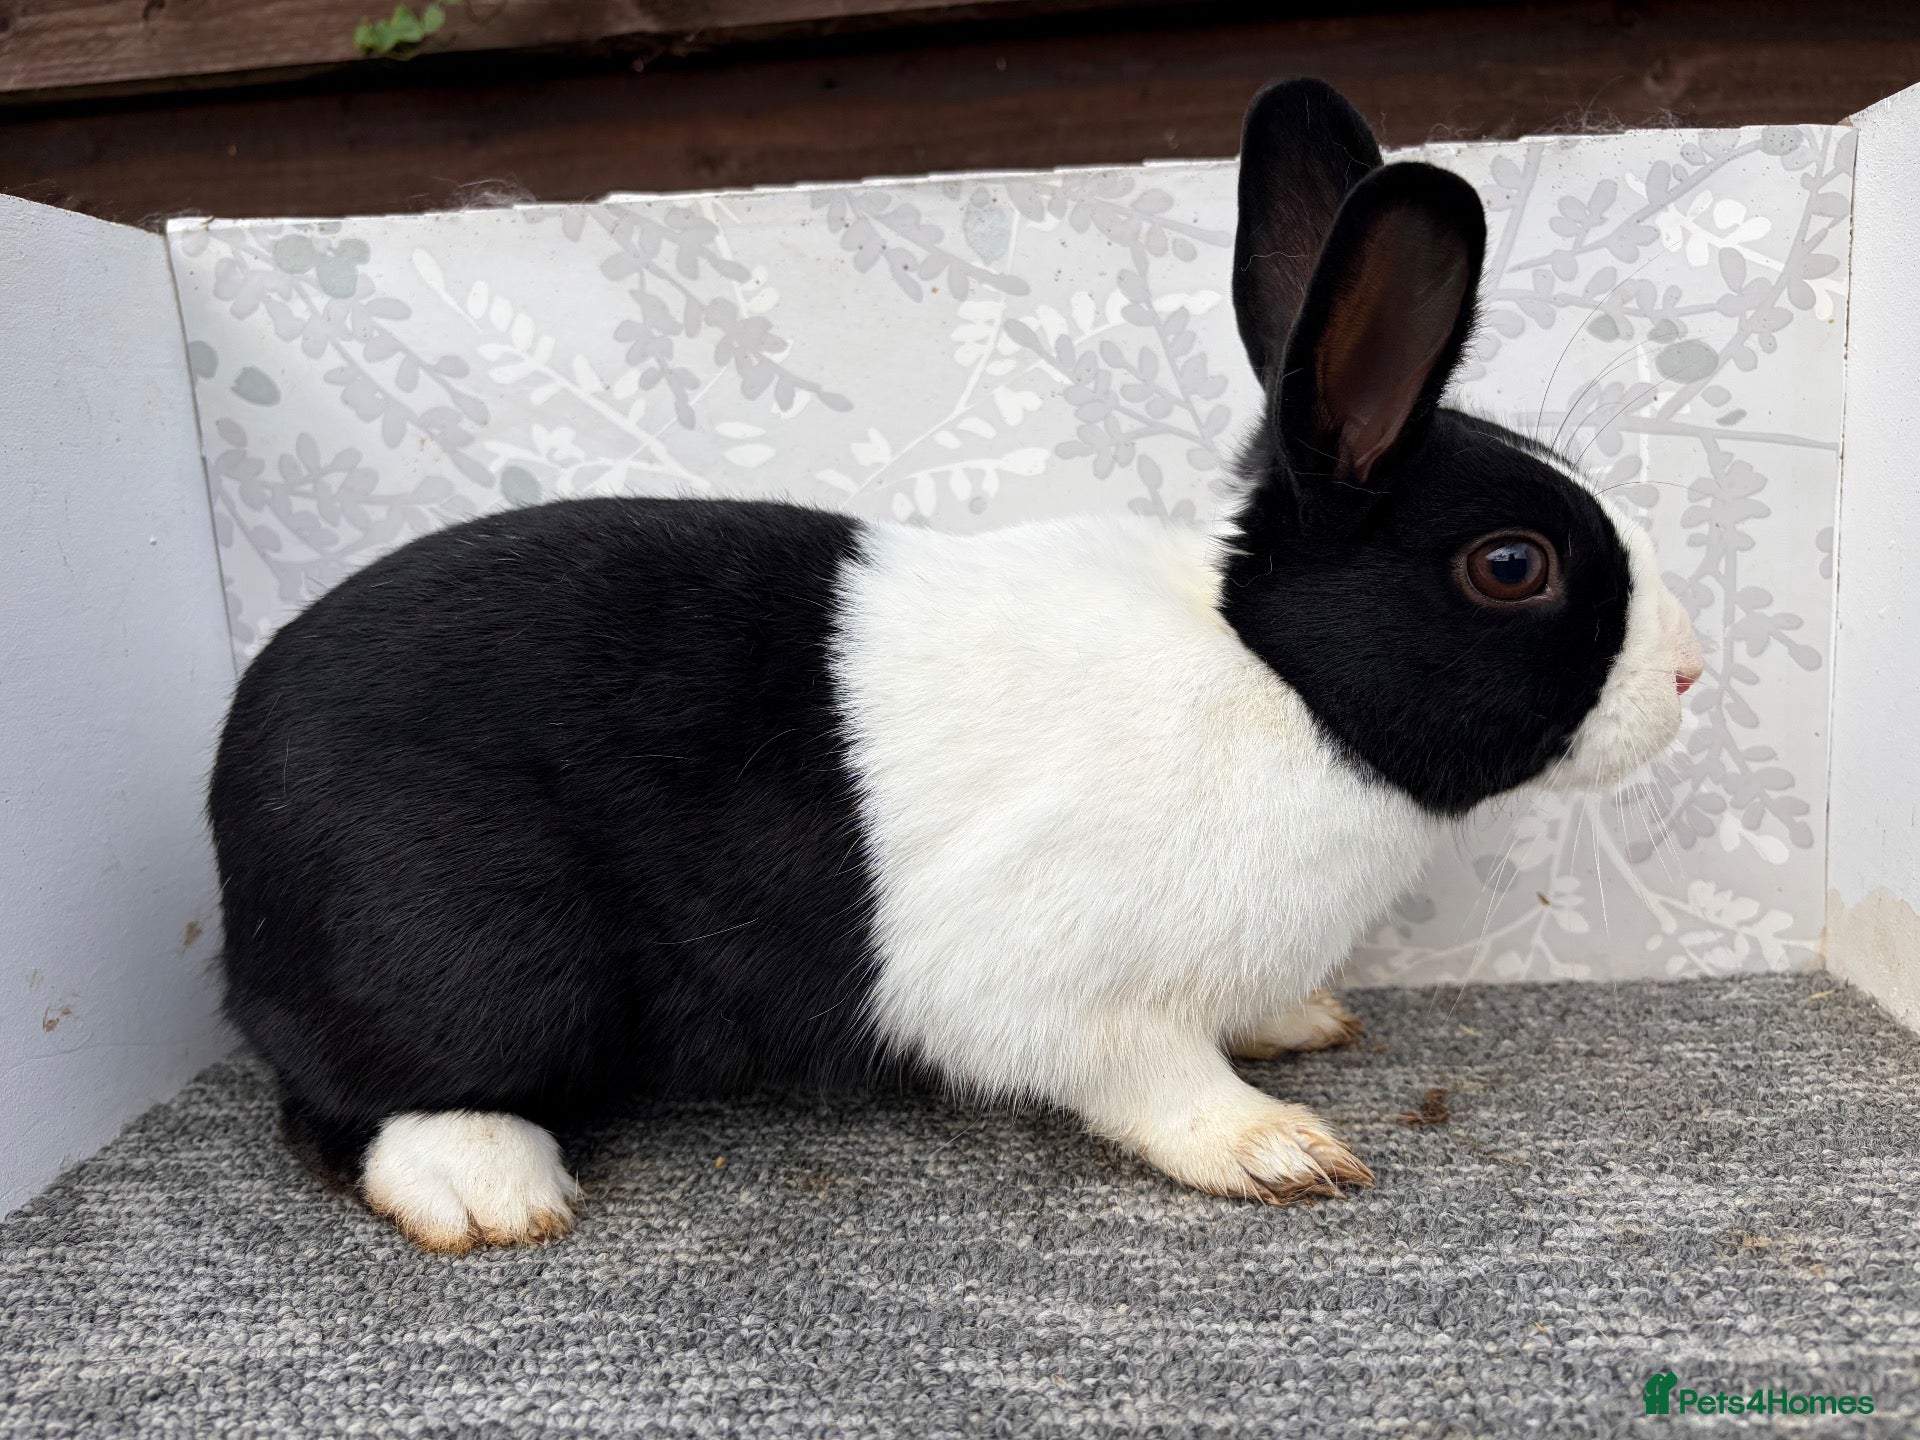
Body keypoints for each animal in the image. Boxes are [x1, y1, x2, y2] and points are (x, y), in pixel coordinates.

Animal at [210, 77, 1704, 1253]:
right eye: (1512, 566)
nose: (1691, 676)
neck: (1272, 680)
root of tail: (232, 830)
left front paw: (1301, 1022)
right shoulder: (1063, 983)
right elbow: (1151, 1075)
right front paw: (1277, 1147)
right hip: (477, 963)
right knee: (353, 1108)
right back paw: (491, 1190)